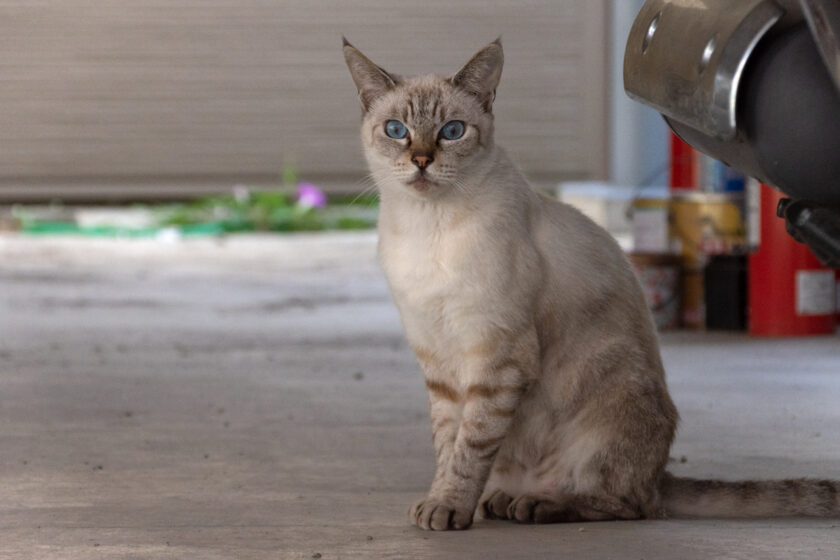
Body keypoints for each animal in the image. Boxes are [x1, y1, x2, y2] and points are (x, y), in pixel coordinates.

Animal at [342, 38, 840, 528]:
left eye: (451, 131)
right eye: (395, 130)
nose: (422, 160)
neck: (426, 227)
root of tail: (660, 475)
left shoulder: (496, 356)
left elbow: (470, 447)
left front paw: (449, 509)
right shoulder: (439, 361)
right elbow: (448, 446)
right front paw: (439, 502)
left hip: (611, 398)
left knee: (632, 505)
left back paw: (540, 506)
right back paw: (504, 501)